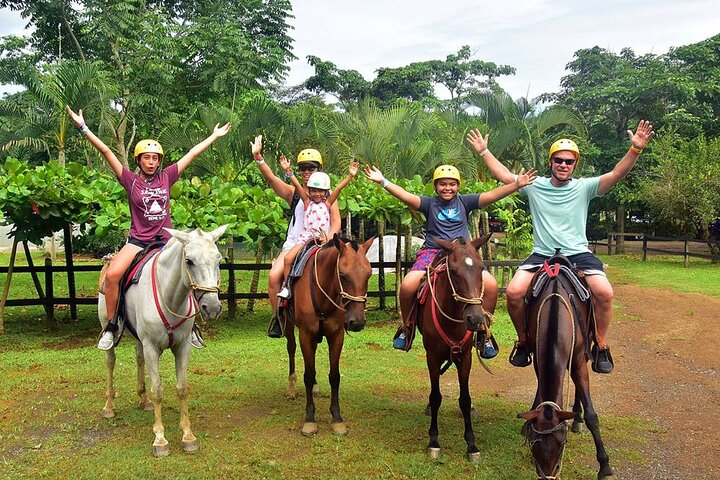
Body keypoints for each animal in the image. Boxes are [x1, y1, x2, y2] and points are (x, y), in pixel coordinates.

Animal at [98, 226, 226, 458]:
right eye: (189, 261)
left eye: (218, 259)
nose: (212, 307)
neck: (170, 297)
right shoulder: (152, 348)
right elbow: (158, 390)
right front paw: (160, 440)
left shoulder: (182, 347)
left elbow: (182, 387)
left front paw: (188, 436)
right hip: (108, 326)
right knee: (110, 362)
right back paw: (109, 407)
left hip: (139, 339)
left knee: (139, 359)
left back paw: (143, 400)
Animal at [278, 234, 374, 436]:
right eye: (343, 275)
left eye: (369, 275)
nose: (357, 322)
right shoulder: (306, 334)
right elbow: (307, 374)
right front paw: (309, 419)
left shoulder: (336, 335)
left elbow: (334, 376)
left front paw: (337, 418)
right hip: (288, 324)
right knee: (291, 349)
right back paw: (291, 388)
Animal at [416, 234, 496, 464]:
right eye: (452, 270)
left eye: (481, 267)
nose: (476, 319)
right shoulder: (432, 357)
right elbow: (435, 397)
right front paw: (434, 442)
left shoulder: (465, 357)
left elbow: (465, 399)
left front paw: (471, 445)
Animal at [516, 253, 612, 478]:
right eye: (534, 444)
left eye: (561, 443)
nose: (549, 476)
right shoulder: (538, 356)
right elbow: (540, 390)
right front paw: (527, 422)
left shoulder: (577, 361)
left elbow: (592, 415)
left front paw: (604, 465)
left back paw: (577, 417)